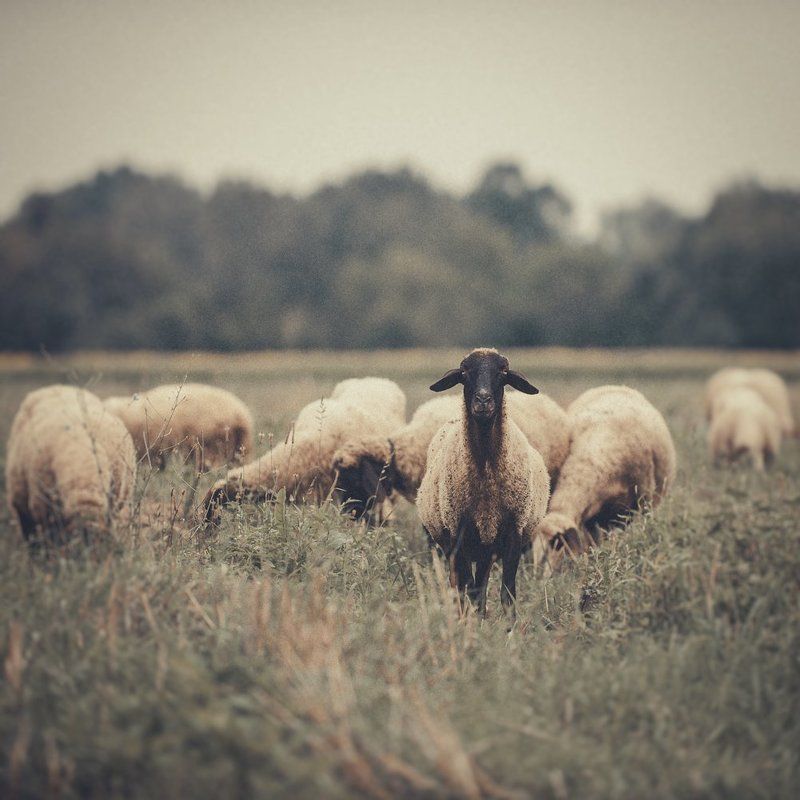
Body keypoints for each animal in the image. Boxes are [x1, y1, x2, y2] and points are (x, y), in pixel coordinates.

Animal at [416, 349, 550, 619]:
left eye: (503, 372)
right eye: (464, 372)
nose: (483, 400)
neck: (486, 466)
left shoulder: (513, 533)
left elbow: (506, 592)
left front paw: (508, 627)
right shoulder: (459, 534)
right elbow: (469, 589)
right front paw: (472, 623)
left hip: (487, 547)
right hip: (454, 545)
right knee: (460, 586)